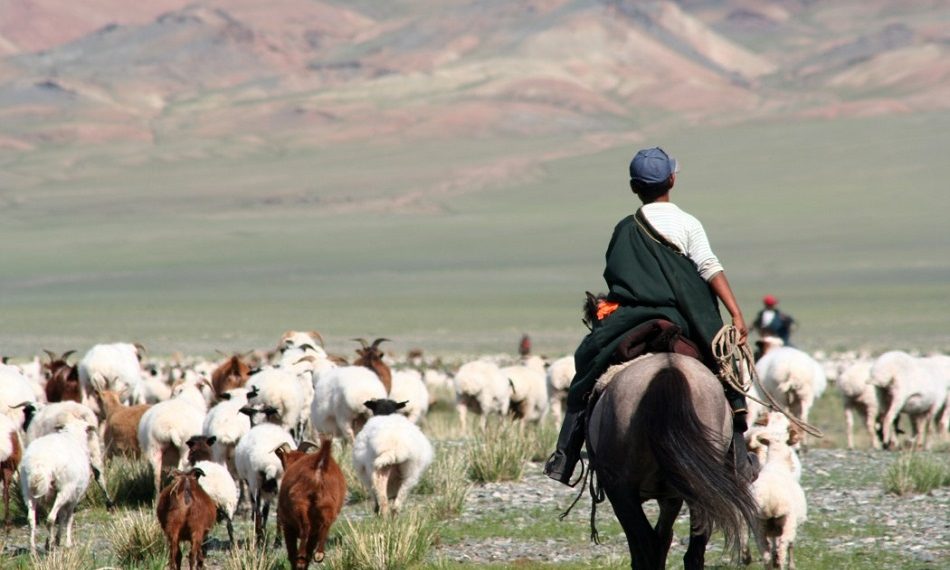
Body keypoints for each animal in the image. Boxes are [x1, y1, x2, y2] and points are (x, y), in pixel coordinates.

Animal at [20, 418, 94, 552]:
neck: (72, 436)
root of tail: (40, 463)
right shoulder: (74, 498)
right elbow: (68, 518)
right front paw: (66, 542)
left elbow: (62, 516)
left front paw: (57, 539)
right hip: (65, 489)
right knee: (50, 519)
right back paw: (50, 544)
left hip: (27, 490)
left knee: (31, 519)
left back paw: (33, 548)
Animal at [588, 352, 760, 564]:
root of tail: (669, 370)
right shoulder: (671, 497)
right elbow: (663, 538)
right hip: (700, 489)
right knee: (693, 550)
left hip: (621, 491)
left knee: (645, 547)